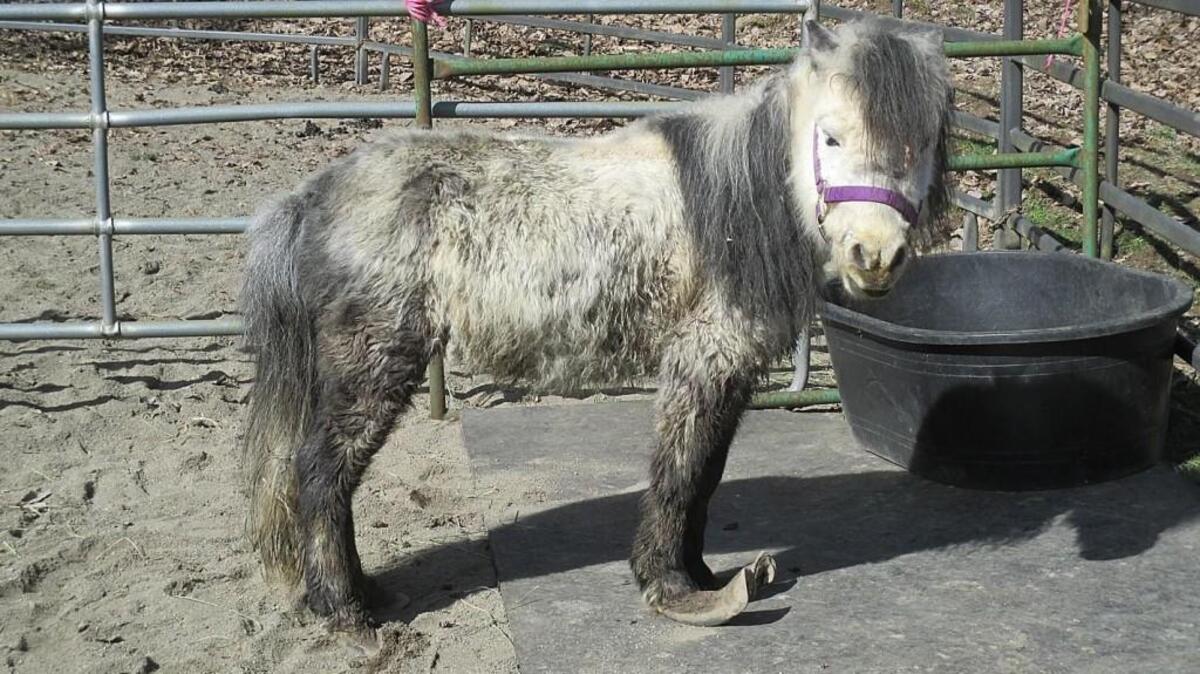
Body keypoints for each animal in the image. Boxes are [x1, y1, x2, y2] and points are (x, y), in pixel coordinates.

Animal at [239, 17, 954, 634]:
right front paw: (676, 591)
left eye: (921, 141)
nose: (875, 255)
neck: (734, 206)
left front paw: (701, 575)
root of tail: (312, 196)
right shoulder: (703, 358)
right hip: (376, 360)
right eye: (830, 137)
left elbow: (707, 475)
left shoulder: (731, 370)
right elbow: (680, 471)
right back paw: (346, 611)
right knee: (322, 471)